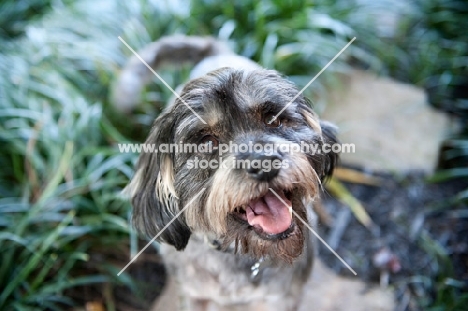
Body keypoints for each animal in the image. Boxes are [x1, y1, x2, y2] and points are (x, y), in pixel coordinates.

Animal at [114, 35, 338, 310]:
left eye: (273, 120)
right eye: (207, 141)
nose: (264, 163)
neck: (237, 250)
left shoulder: (280, 299)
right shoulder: (194, 296)